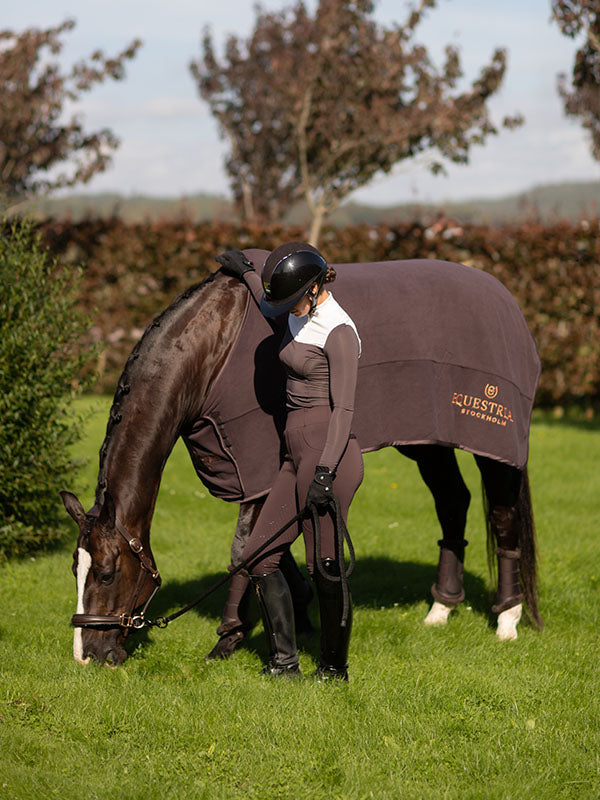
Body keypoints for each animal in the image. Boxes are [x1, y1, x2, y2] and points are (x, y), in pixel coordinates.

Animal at [61, 252, 542, 665]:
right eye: (73, 569)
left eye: (106, 573)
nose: (88, 655)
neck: (212, 346)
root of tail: (506, 299)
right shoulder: (265, 477)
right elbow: (273, 544)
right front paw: (300, 610)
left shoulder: (256, 465)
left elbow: (244, 549)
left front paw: (229, 637)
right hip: (428, 441)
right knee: (453, 502)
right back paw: (441, 608)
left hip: (494, 444)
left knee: (501, 515)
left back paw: (507, 618)